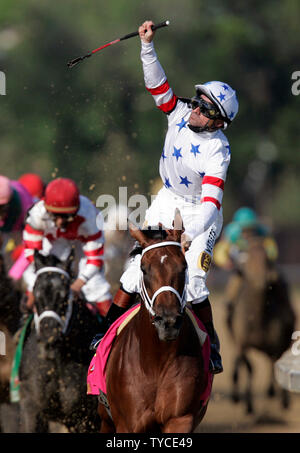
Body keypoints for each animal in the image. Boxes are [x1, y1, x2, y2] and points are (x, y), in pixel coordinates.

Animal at [95, 215, 212, 434]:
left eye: (183, 267)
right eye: (144, 269)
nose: (168, 321)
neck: (155, 361)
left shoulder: (180, 419)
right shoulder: (127, 424)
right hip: (105, 419)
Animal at [227, 237, 296, 414]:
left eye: (267, 258)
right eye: (248, 258)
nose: (263, 279)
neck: (258, 319)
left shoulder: (278, 344)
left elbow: (275, 364)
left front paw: (284, 400)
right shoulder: (242, 344)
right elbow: (249, 367)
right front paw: (248, 405)